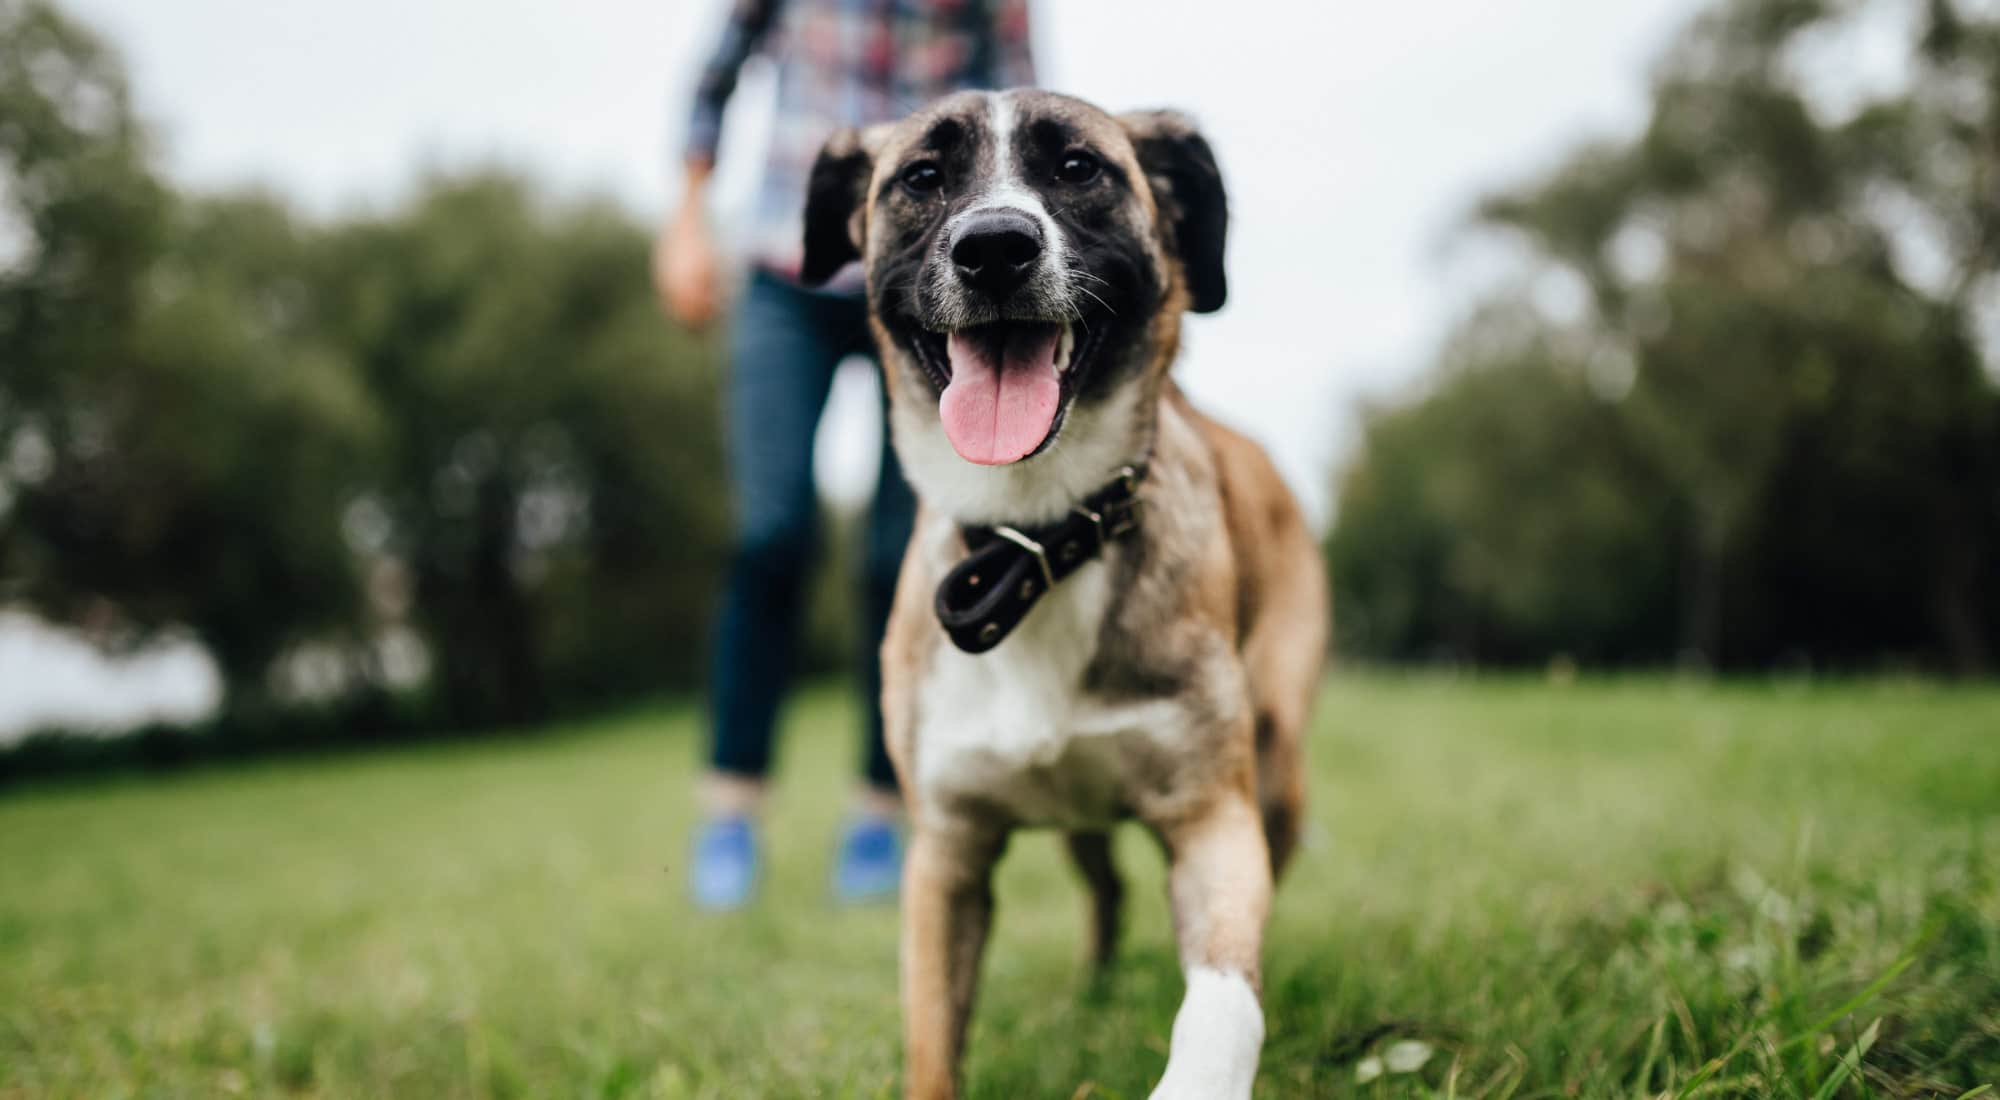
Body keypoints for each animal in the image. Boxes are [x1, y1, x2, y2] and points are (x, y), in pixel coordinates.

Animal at [796, 90, 1328, 1096]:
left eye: (1079, 168)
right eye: (922, 177)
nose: (995, 246)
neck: (1036, 537)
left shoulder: (1212, 817)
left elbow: (1222, 997)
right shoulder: (947, 857)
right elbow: (933, 1043)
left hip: (1274, 764)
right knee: (1108, 886)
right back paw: (1096, 987)